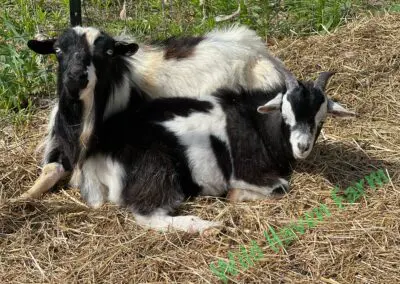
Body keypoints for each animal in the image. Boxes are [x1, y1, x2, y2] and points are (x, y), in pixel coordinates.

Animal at [20, 25, 292, 199]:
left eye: (108, 52)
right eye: (58, 50)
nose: (76, 79)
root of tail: (257, 51)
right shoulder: (61, 141)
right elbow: (49, 171)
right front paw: (23, 197)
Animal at [74, 71, 354, 233]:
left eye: (321, 120)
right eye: (285, 115)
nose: (302, 147)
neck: (256, 122)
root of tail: (98, 152)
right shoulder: (247, 172)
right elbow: (281, 187)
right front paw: (234, 195)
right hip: (155, 169)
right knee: (147, 215)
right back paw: (207, 226)